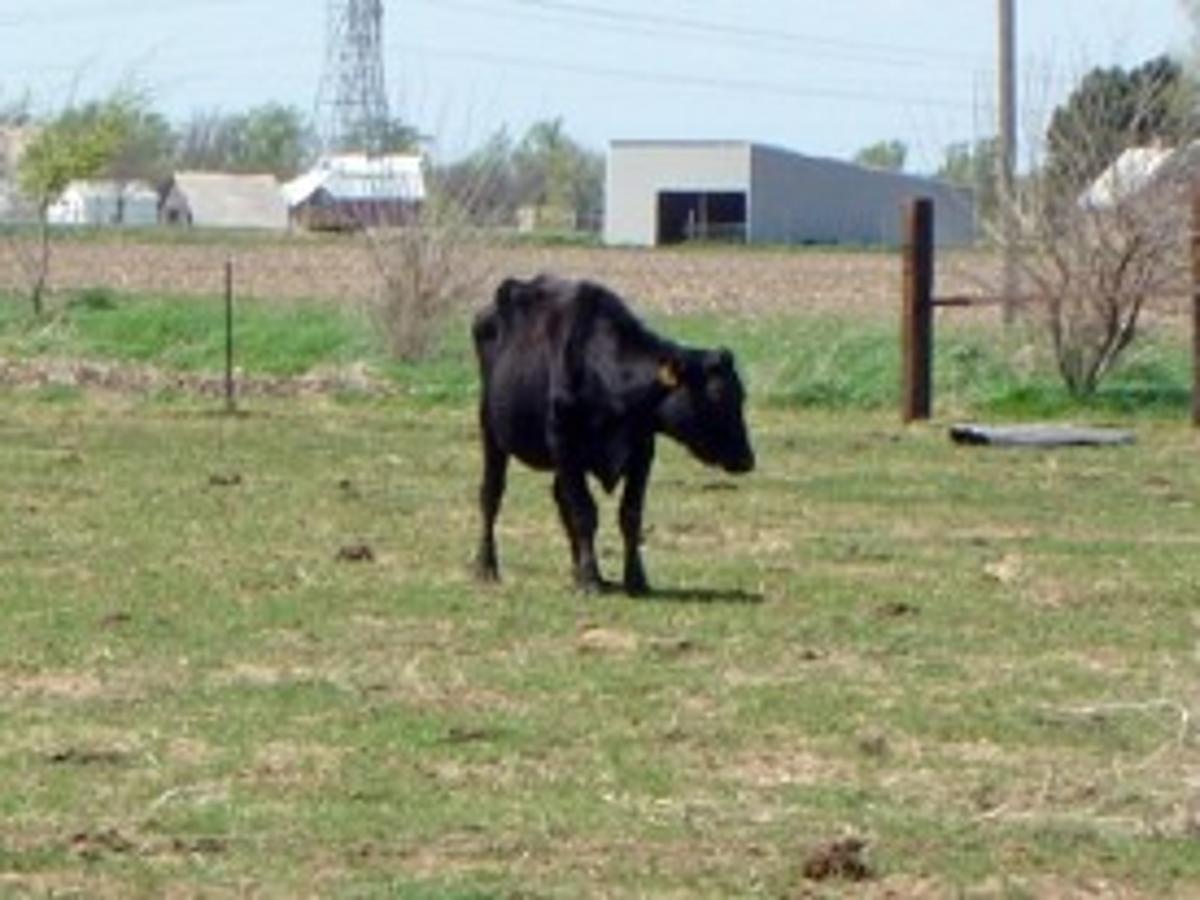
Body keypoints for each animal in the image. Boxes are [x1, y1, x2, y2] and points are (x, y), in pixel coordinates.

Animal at [472, 274, 755, 595]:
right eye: (717, 395)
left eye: (741, 394)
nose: (747, 459)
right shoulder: (564, 444)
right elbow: (584, 513)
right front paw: (591, 580)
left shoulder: (643, 450)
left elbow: (629, 515)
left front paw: (634, 578)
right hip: (490, 427)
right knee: (491, 494)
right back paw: (486, 566)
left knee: (559, 498)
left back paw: (576, 569)